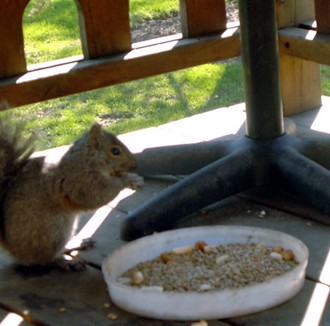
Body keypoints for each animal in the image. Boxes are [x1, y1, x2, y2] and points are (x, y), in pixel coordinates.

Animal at [0, 119, 142, 270]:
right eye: (115, 151)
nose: (135, 165)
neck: (87, 160)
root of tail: (11, 247)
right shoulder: (81, 182)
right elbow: (98, 195)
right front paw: (128, 180)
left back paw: (77, 243)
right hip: (53, 232)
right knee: (45, 259)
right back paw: (67, 262)